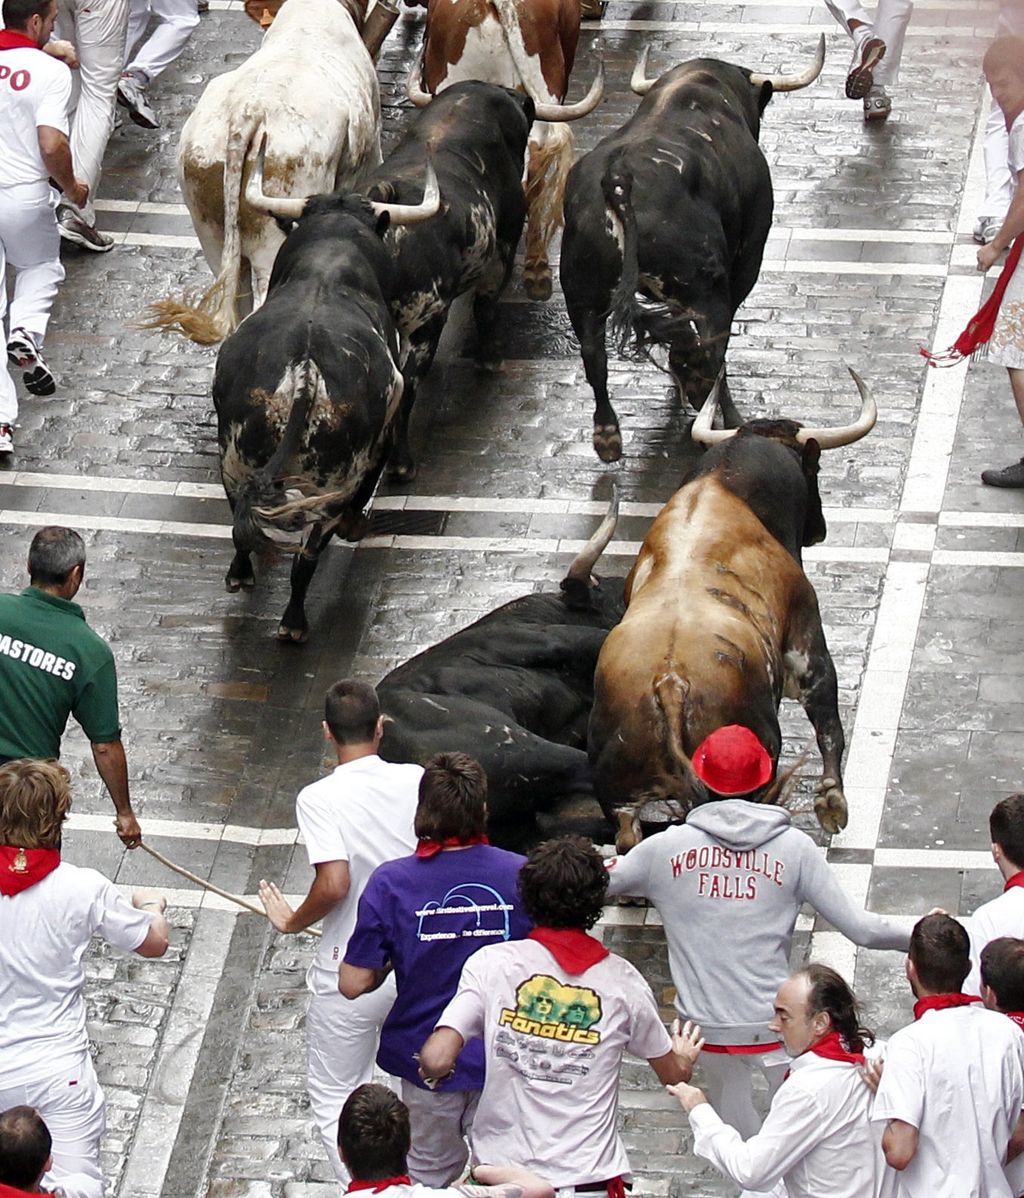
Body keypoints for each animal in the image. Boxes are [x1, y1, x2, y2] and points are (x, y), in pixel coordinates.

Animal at [560, 38, 823, 462]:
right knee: (715, 349)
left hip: (580, 290)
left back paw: (608, 435)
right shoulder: (748, 256)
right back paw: (726, 416)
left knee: (593, 355)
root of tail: (619, 180)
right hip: (707, 289)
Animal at [589, 368, 876, 848]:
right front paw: (832, 804)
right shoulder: (807, 641)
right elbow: (829, 726)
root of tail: (670, 684)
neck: (726, 487)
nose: (819, 529)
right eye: (814, 469)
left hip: (619, 795)